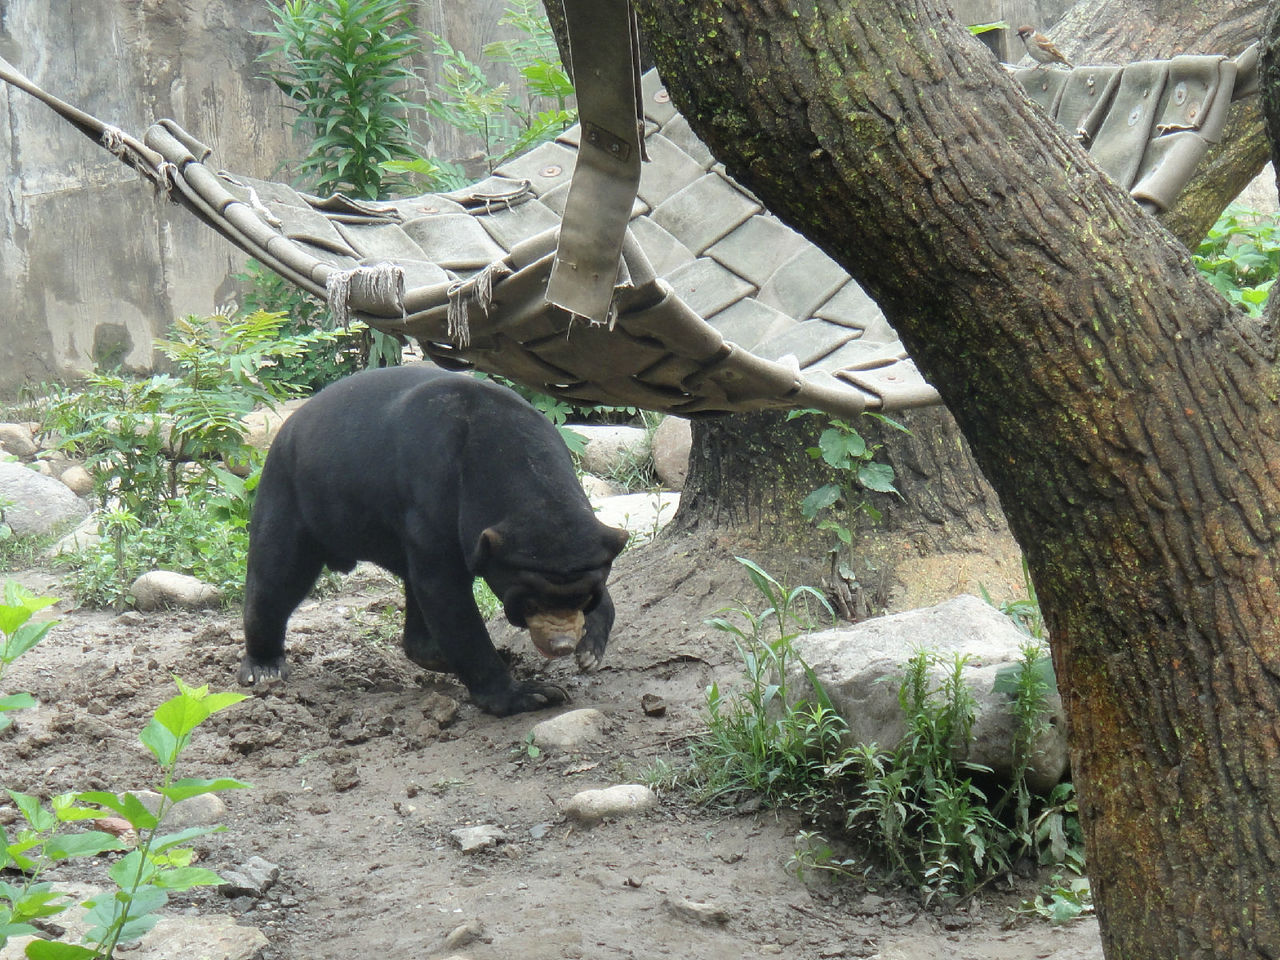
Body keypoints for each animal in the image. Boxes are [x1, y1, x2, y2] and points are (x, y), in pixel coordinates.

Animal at [240, 363, 629, 716]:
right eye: (529, 603)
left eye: (583, 598)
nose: (561, 645)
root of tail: (290, 424)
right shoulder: (432, 497)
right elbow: (446, 594)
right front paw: (530, 694)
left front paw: (590, 650)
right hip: (290, 496)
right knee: (276, 578)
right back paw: (265, 666)